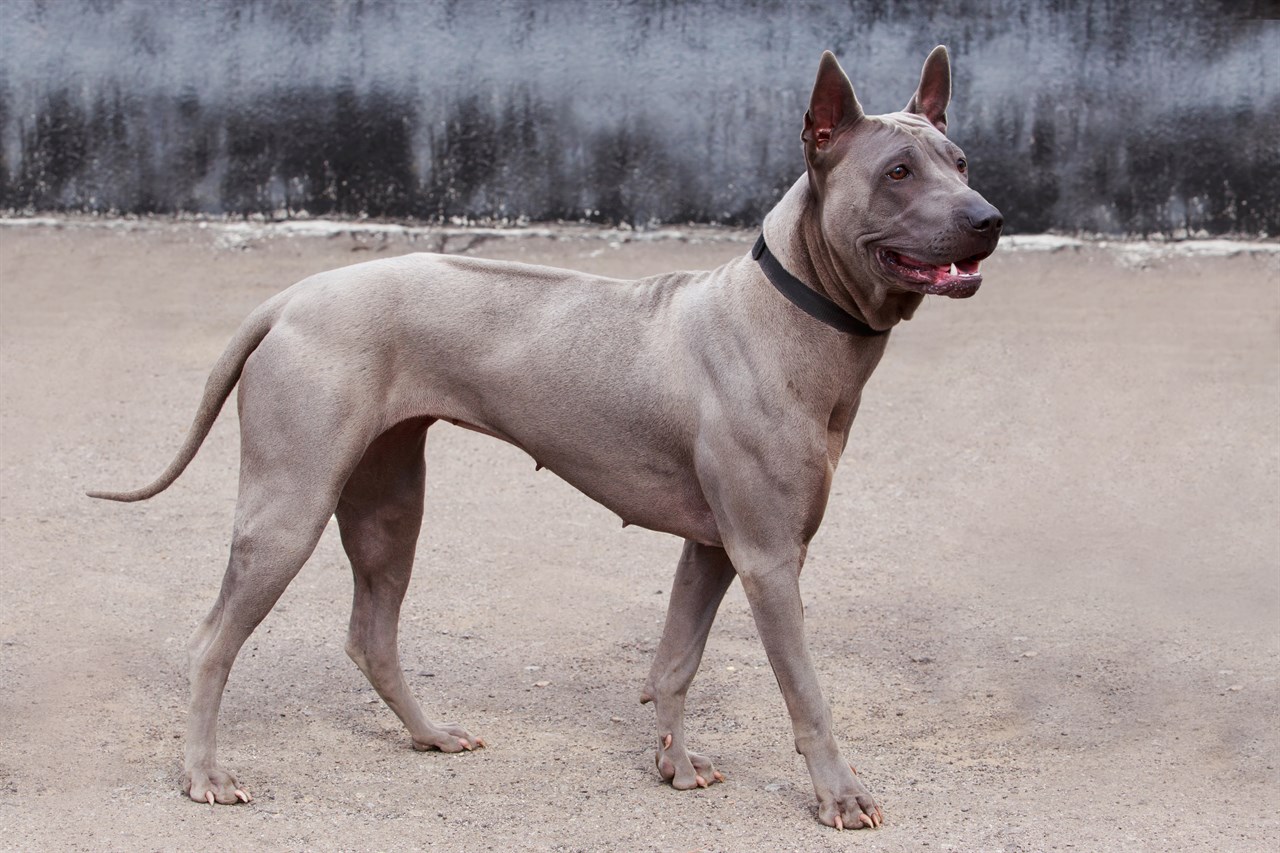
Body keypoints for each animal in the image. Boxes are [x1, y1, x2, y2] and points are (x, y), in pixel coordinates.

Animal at [94, 44, 1003, 824]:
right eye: (896, 173)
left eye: (960, 163)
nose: (991, 218)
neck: (790, 314)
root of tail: (292, 296)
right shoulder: (770, 558)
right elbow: (807, 692)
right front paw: (839, 795)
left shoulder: (713, 548)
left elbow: (674, 661)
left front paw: (674, 764)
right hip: (289, 507)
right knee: (213, 640)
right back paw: (204, 772)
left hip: (389, 503)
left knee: (370, 633)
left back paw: (430, 732)